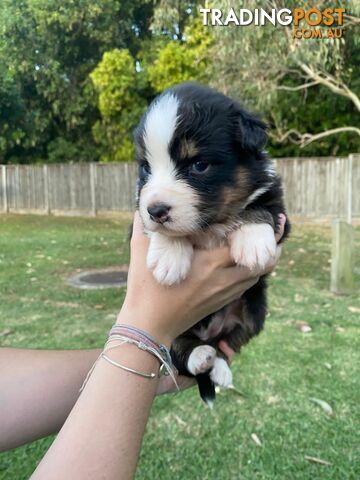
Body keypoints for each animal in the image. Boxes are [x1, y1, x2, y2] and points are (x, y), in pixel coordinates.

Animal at [134, 82, 290, 404]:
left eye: (199, 165)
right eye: (145, 168)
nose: (156, 210)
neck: (211, 224)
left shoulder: (279, 209)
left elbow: (260, 207)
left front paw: (253, 243)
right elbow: (158, 229)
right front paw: (169, 259)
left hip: (254, 312)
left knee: (223, 345)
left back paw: (218, 368)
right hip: (173, 328)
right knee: (178, 351)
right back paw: (199, 358)